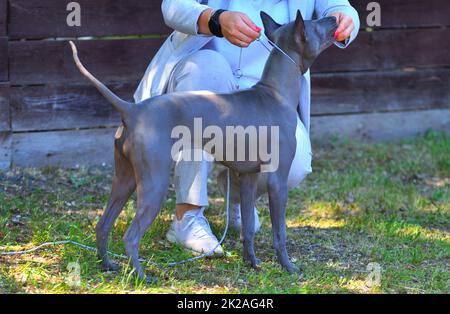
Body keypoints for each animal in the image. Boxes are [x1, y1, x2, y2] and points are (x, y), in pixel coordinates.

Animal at [69, 11, 338, 282]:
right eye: (316, 25)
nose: (336, 19)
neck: (274, 94)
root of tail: (132, 110)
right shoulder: (277, 181)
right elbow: (280, 232)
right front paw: (288, 267)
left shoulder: (248, 177)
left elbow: (248, 228)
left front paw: (251, 262)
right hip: (154, 183)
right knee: (130, 236)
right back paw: (143, 277)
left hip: (124, 179)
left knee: (103, 225)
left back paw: (108, 265)